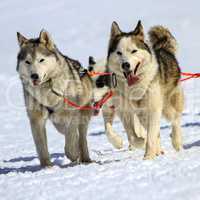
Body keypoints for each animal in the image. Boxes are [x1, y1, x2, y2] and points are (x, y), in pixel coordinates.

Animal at [16, 30, 93, 167]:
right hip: (58, 124)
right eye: (27, 61)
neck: (47, 91)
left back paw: (85, 158)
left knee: (81, 138)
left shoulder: (72, 115)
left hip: (82, 115)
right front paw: (47, 167)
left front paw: (73, 155)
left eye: (41, 60)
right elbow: (41, 147)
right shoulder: (36, 119)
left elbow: (71, 144)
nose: (34, 76)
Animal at [97, 21, 184, 159]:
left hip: (166, 106)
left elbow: (151, 136)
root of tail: (163, 50)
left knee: (175, 118)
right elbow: (133, 135)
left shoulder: (153, 109)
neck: (135, 87)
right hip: (142, 115)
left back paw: (176, 141)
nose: (125, 65)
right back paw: (158, 149)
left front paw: (148, 157)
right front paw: (141, 143)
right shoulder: (125, 111)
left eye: (134, 51)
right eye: (119, 53)